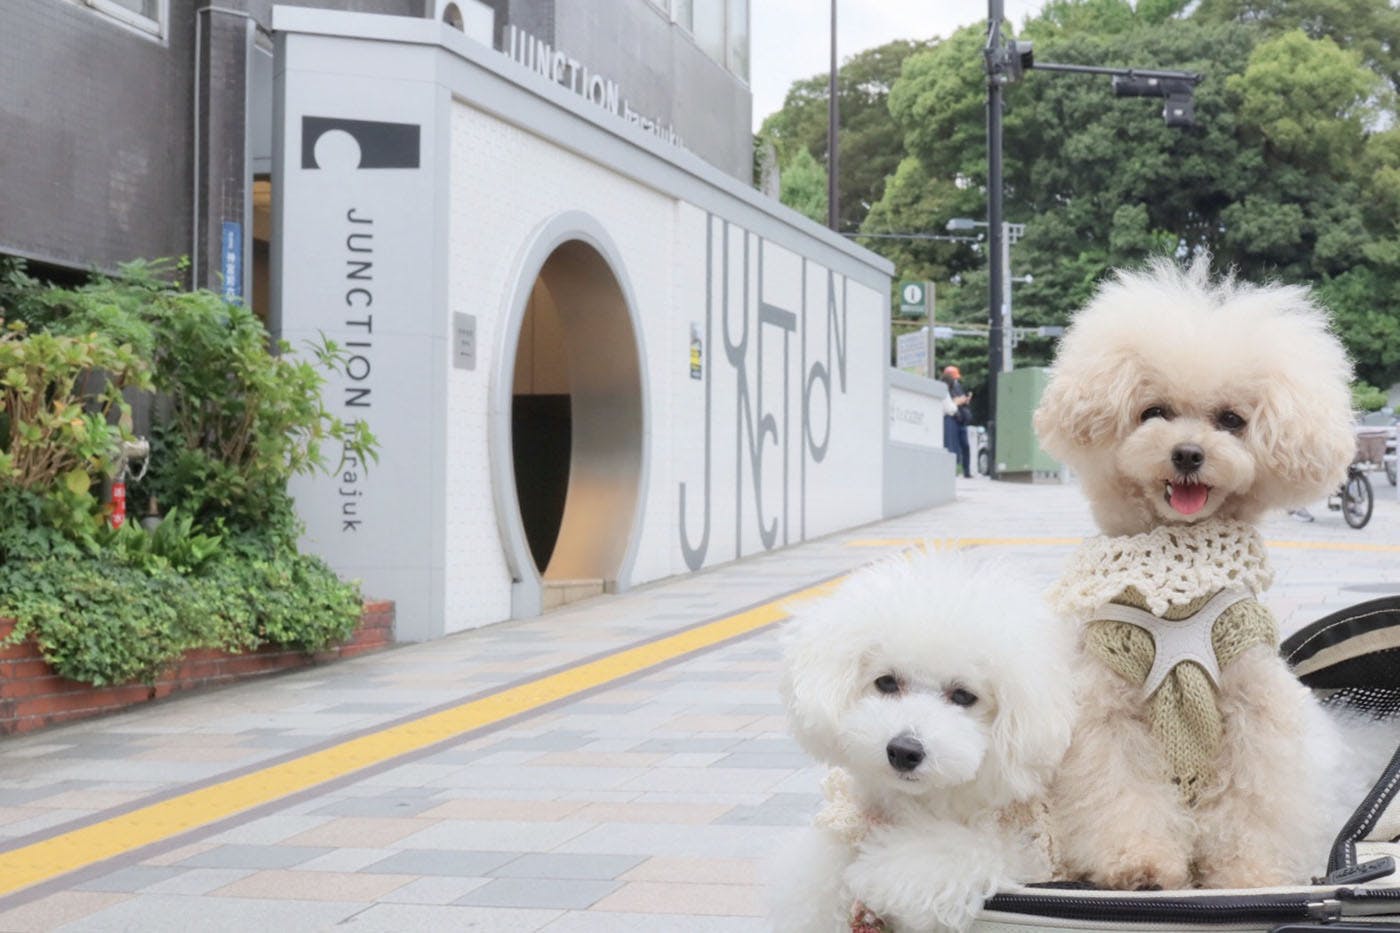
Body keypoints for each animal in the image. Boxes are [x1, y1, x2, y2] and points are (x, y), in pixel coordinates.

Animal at [772, 549, 1075, 924]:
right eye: (887, 682)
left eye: (963, 695)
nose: (904, 751)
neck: (923, 803)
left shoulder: (1024, 850)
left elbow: (962, 851)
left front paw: (874, 868)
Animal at [1036, 259, 1360, 885]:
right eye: (1153, 412)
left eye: (1232, 421)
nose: (1187, 453)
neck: (1180, 579)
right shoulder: (1108, 710)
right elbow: (1122, 790)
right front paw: (1140, 864)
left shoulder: (1254, 704)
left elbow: (1252, 802)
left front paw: (1248, 874)